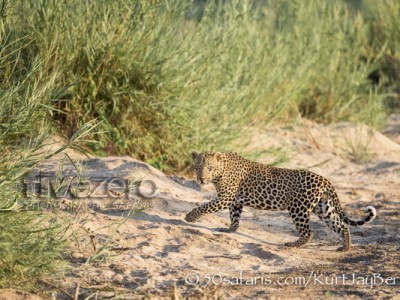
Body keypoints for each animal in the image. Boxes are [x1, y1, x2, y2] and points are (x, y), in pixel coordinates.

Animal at [186, 151, 376, 252]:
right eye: (197, 167)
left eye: (209, 168)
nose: (201, 179)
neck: (222, 171)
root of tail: (324, 179)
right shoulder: (235, 201)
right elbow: (235, 217)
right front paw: (229, 229)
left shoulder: (226, 198)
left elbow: (205, 206)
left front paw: (189, 217)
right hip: (323, 208)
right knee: (342, 226)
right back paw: (345, 248)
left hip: (298, 208)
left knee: (309, 232)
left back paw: (293, 244)